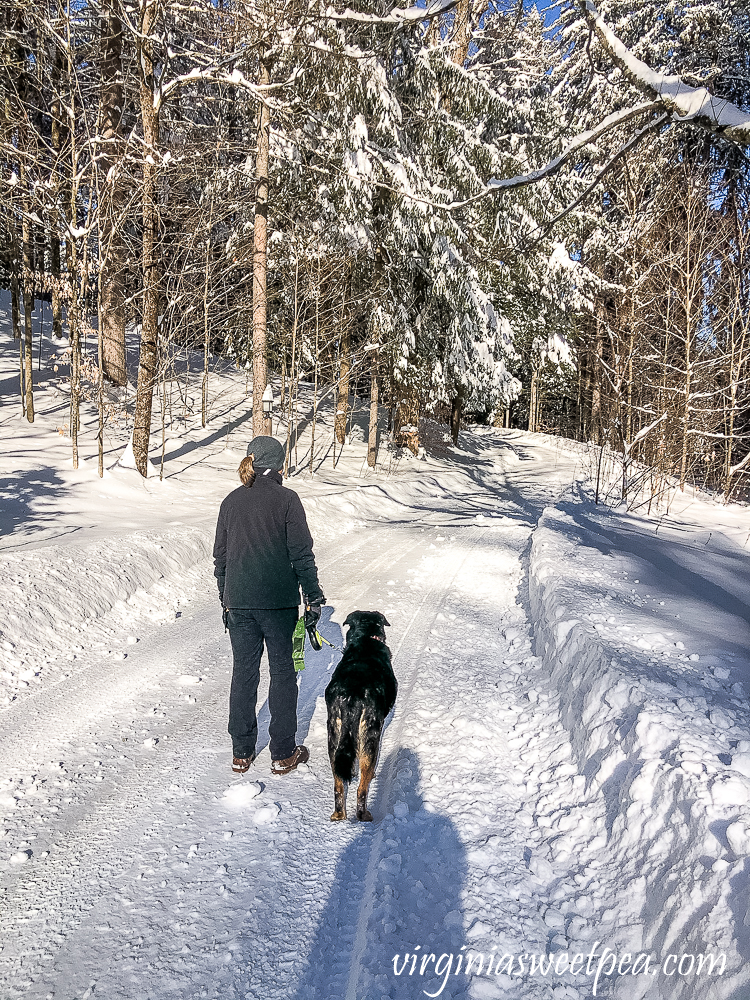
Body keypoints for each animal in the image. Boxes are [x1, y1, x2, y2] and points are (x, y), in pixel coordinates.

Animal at [328, 608, 402, 820]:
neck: (365, 639)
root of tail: (351, 697)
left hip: (334, 734)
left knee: (338, 785)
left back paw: (338, 815)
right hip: (370, 735)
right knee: (362, 788)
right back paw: (364, 815)